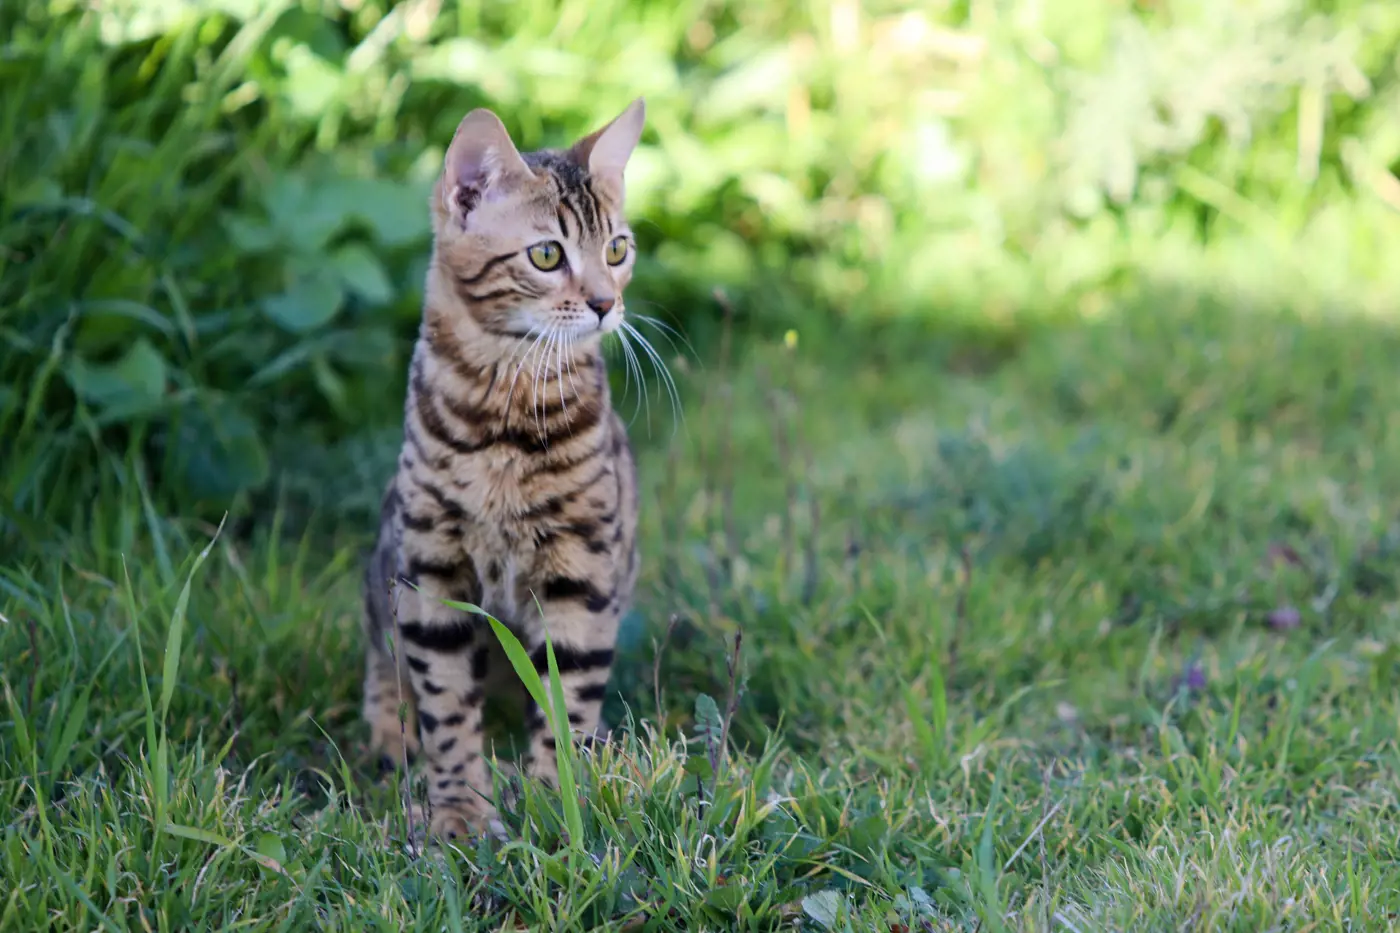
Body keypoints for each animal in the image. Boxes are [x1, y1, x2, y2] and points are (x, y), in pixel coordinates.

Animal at [361, 98, 644, 840]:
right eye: (546, 254)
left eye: (617, 249)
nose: (606, 303)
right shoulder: (431, 572)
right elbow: (447, 707)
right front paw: (459, 809)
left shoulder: (582, 576)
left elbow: (567, 699)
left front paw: (552, 799)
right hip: (385, 565)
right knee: (379, 659)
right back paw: (390, 735)